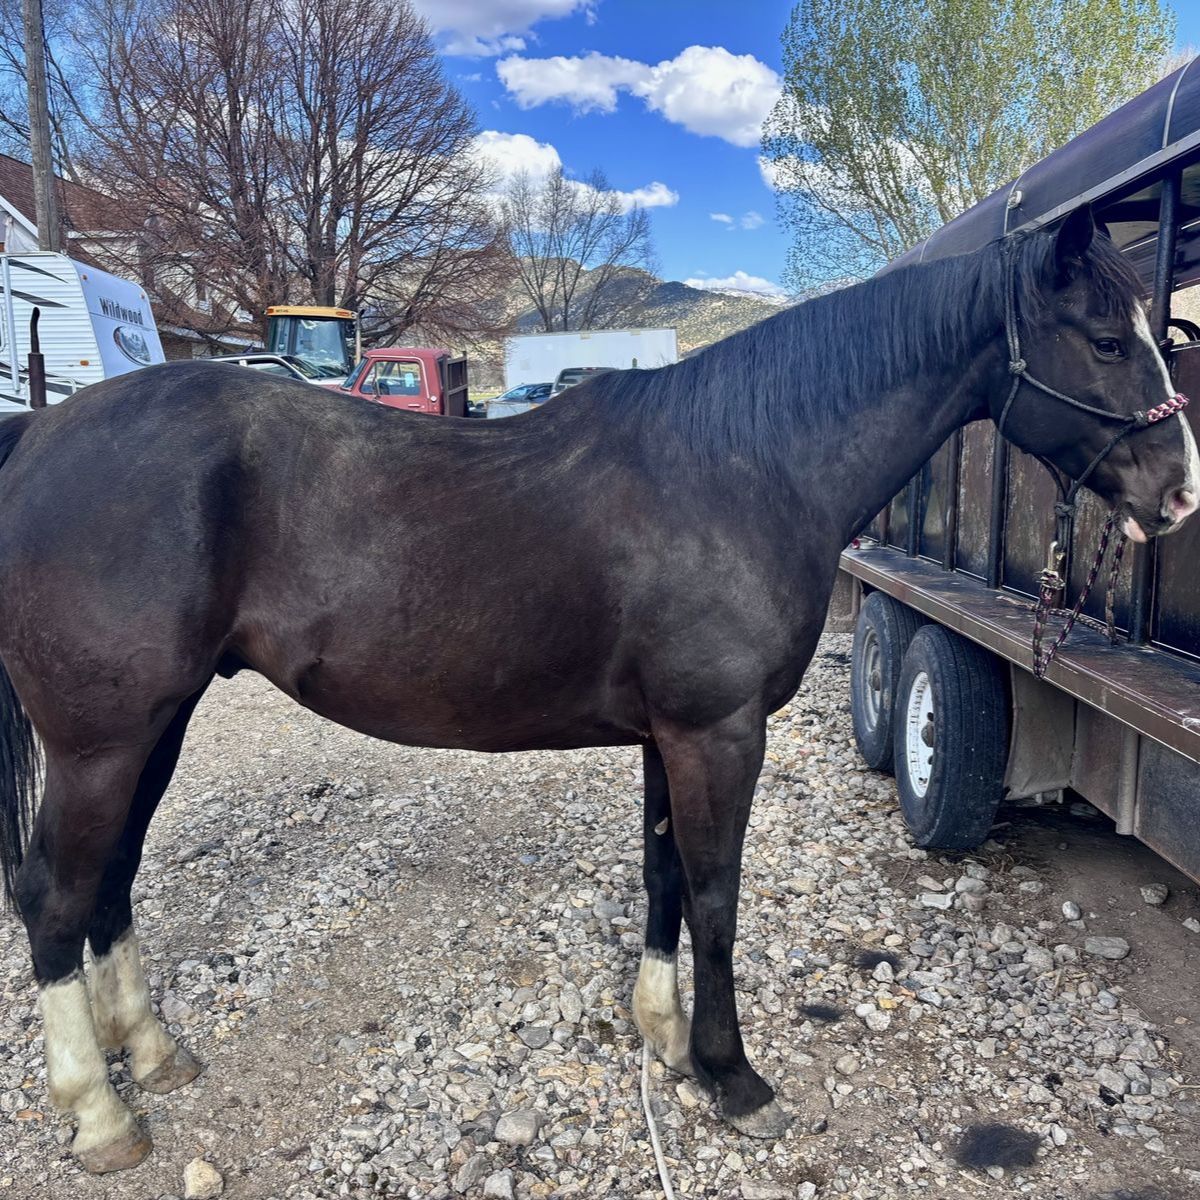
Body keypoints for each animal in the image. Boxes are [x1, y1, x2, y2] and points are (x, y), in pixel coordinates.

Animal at [0, 207, 1195, 1174]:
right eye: (1105, 340)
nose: (1180, 490)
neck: (747, 464)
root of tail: (42, 431)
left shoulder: (672, 735)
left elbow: (664, 876)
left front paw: (661, 1037)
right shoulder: (719, 733)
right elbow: (714, 896)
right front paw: (731, 1076)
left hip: (154, 726)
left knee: (108, 885)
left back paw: (152, 1055)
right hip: (104, 741)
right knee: (53, 897)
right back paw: (99, 1115)